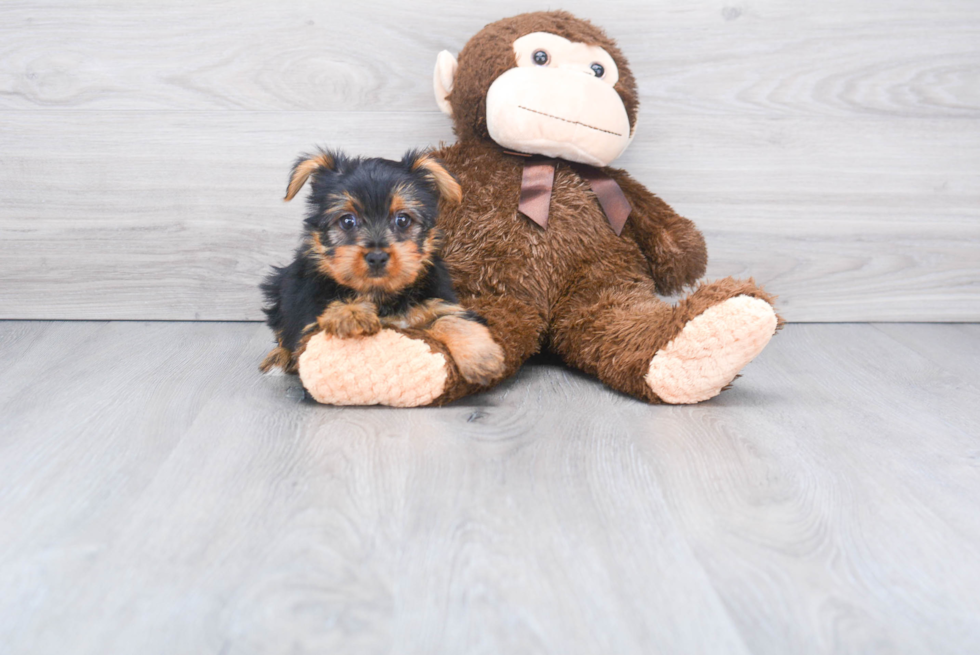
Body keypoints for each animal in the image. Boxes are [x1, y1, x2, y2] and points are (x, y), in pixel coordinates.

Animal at [260, 147, 506, 390]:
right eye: (347, 221)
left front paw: (482, 358)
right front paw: (352, 313)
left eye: (403, 220)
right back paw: (278, 358)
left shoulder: (439, 302)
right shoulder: (309, 322)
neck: (381, 294)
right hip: (281, 285)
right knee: (281, 328)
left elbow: (451, 319)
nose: (377, 256)